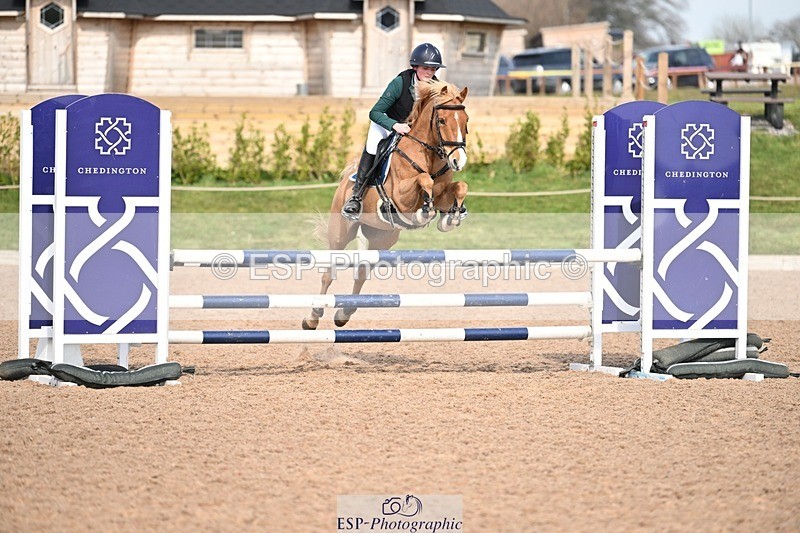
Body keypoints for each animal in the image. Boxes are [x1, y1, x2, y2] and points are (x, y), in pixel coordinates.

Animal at [302, 79, 470, 330]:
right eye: (442, 120)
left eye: (465, 121)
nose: (458, 161)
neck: (429, 155)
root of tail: (345, 180)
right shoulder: (400, 196)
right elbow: (424, 180)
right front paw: (424, 212)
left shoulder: (443, 193)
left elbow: (460, 187)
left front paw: (452, 216)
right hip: (341, 233)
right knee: (328, 273)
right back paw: (313, 317)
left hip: (381, 238)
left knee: (362, 273)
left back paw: (343, 314)